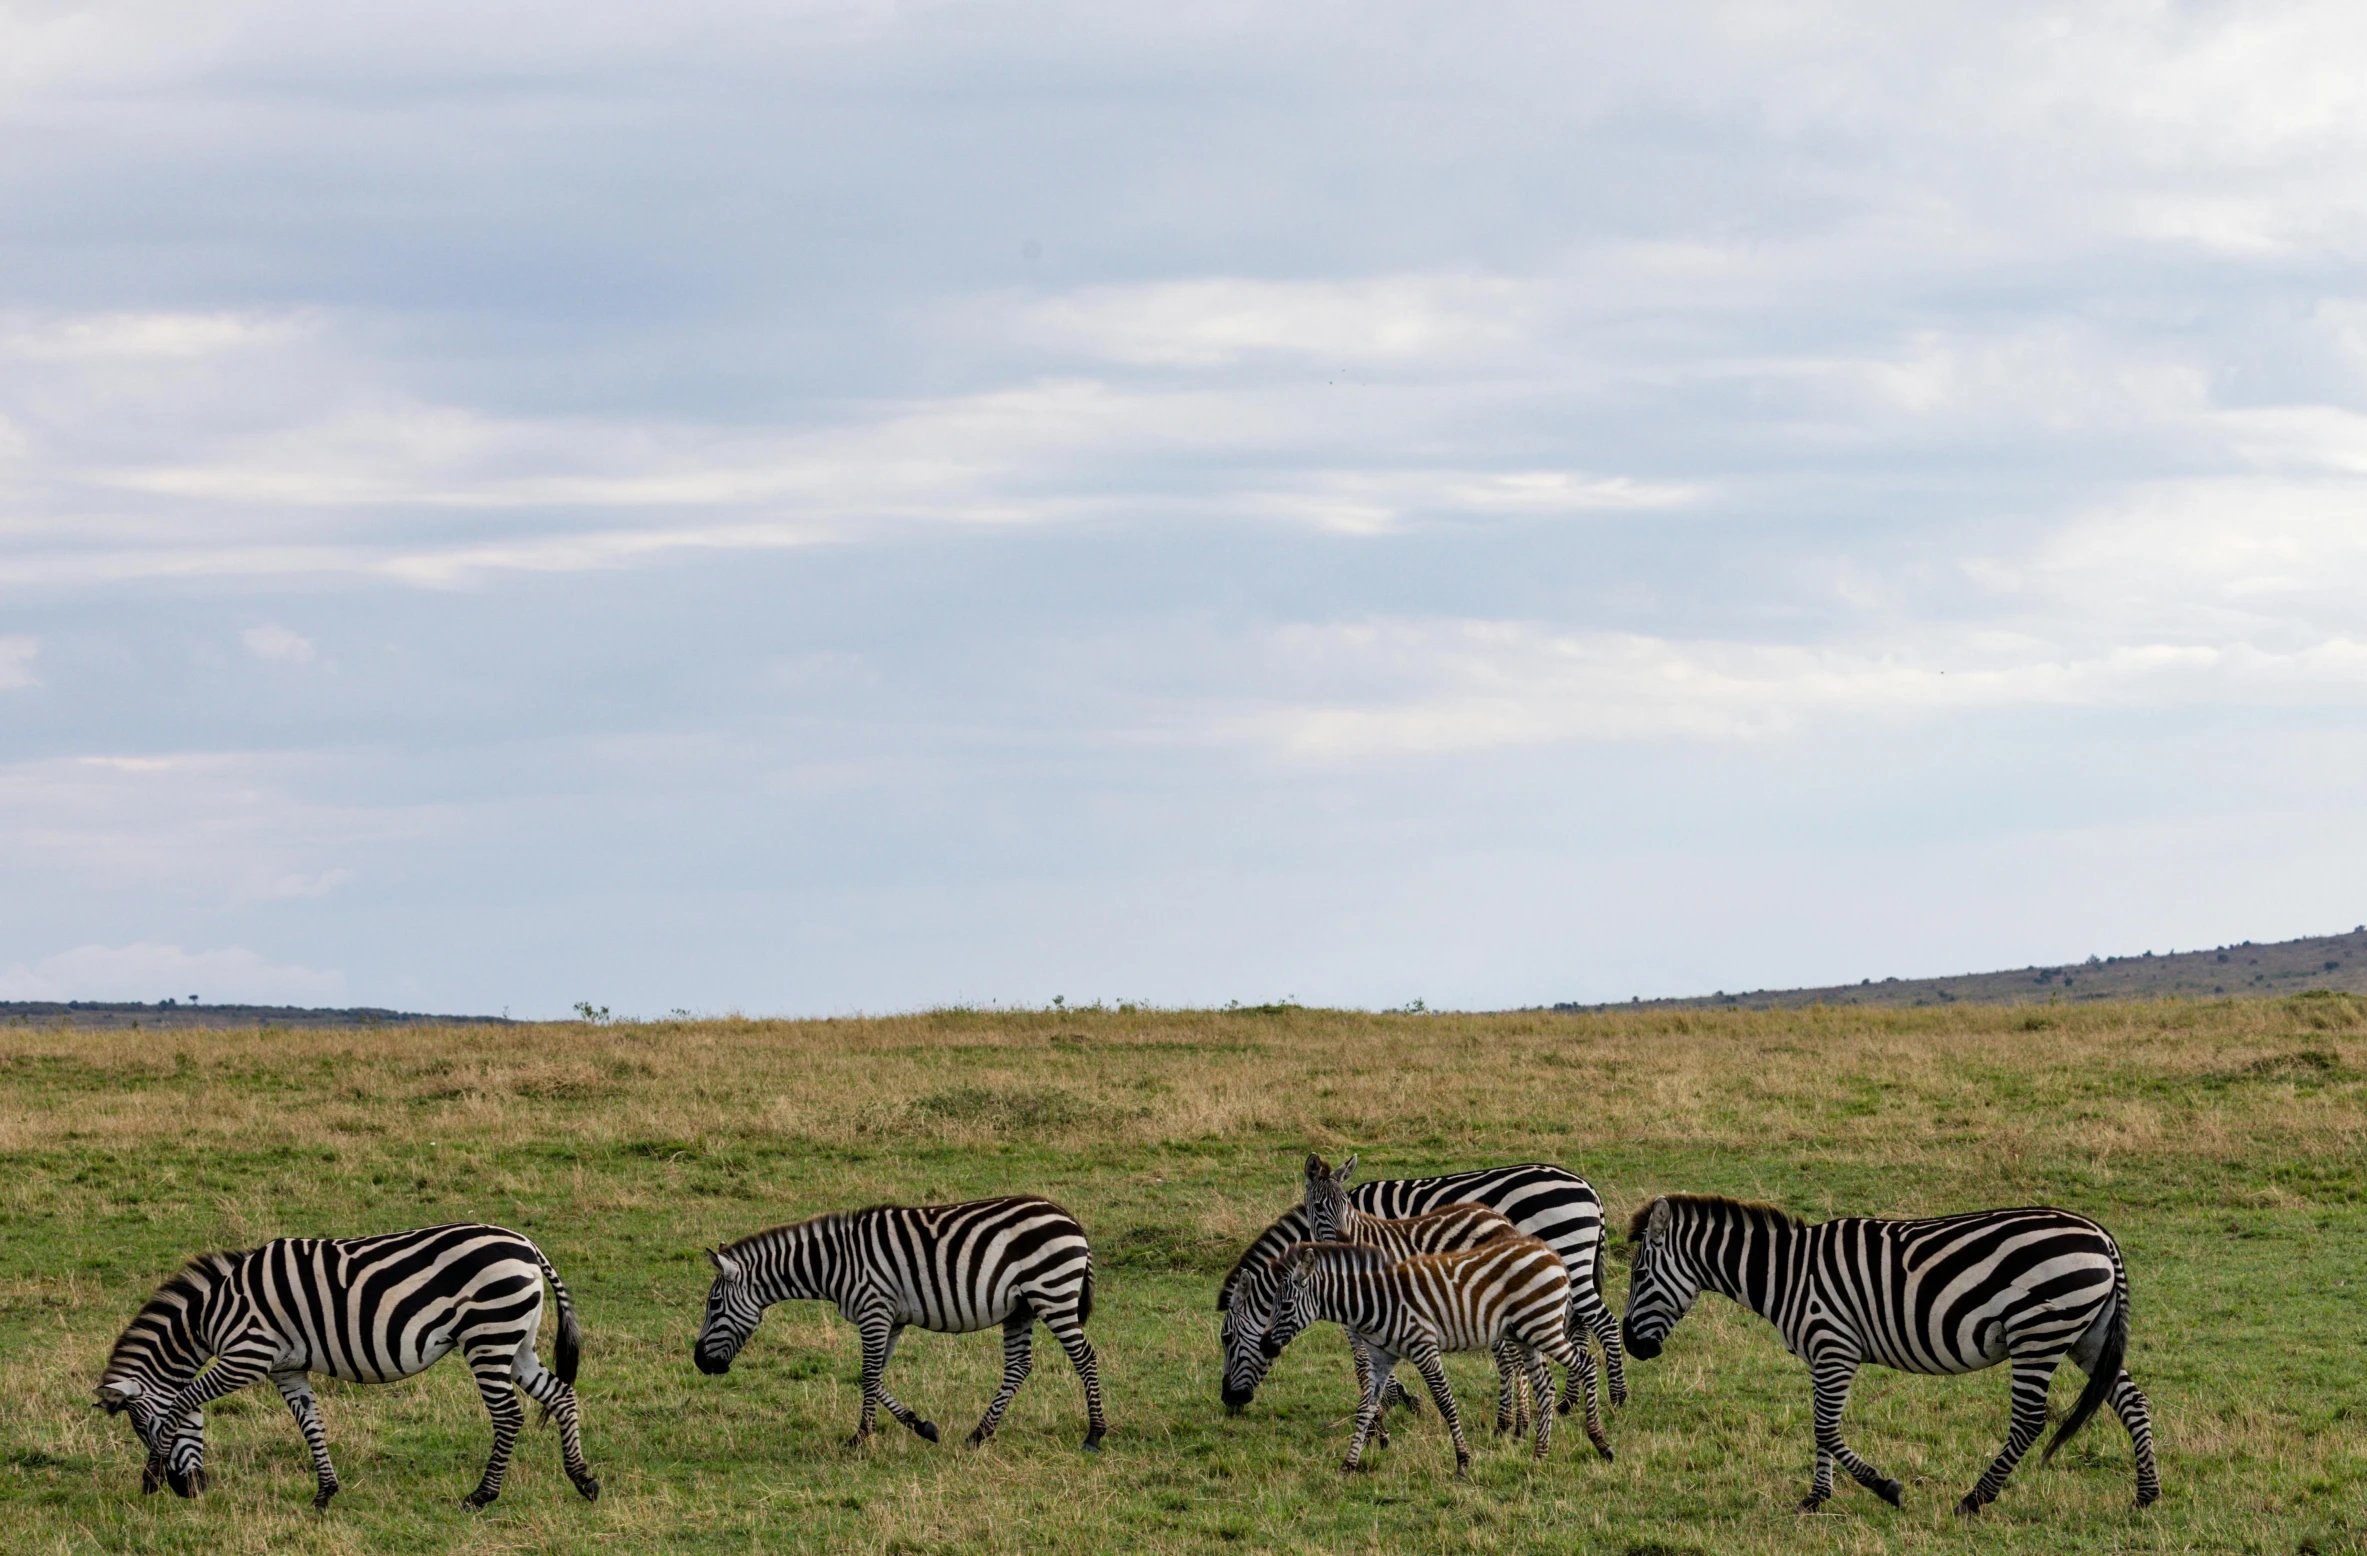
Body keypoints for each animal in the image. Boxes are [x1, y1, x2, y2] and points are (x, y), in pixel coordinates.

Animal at [98, 1222, 601, 1515]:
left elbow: (181, 1399)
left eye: (141, 1427)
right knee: (561, 1394)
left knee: (508, 1416)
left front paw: (151, 1473)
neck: (215, 1310)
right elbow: (311, 1426)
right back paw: (583, 1480)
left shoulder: (246, 1357)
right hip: (516, 1341)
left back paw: (481, 1496)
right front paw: (325, 1494)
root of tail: (526, 1244)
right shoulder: (286, 1368)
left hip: (488, 1336)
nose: (189, 1493)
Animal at [691, 1188, 1107, 1458]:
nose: (699, 1362)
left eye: (714, 1304)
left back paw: (1094, 1435)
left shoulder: (874, 1309)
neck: (835, 1263)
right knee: (1019, 1366)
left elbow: (868, 1373)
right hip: (1021, 1307)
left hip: (1051, 1293)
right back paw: (979, 1434)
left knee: (1085, 1357)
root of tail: (1070, 1218)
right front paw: (921, 1426)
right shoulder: (889, 1318)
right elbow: (874, 1376)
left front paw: (860, 1439)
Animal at [1221, 1151, 1628, 1421]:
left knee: (1604, 1324)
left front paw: (1396, 1398)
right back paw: (1570, 1402)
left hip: (1568, 1257)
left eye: (1227, 1338)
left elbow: (1368, 1348)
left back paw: (1617, 1398)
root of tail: (1589, 1189)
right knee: (1579, 1327)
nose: (1229, 1400)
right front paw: (1396, 1396)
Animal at [1259, 1231, 1609, 1477]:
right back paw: (1540, 1455)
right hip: (1526, 1334)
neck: (1375, 1302)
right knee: (1546, 1387)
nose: (1264, 1346)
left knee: (1587, 1365)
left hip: (1542, 1326)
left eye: (1285, 1305)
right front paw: (1349, 1464)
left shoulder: (1424, 1347)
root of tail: (1551, 1253)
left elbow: (1445, 1402)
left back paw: (1600, 1443)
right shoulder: (1381, 1358)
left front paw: (1463, 1461)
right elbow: (1365, 1407)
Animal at [1628, 1193, 2168, 1515]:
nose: (1634, 1346)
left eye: (1637, 1276)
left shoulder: (1834, 1345)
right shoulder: (1822, 1354)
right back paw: (2146, 1495)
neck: (1786, 1274)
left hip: (2039, 1332)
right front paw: (1816, 1498)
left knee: (2030, 1421)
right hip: (2086, 1334)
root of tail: (2101, 1236)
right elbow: (1821, 1427)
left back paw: (1974, 1500)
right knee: (2131, 1401)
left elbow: (1826, 1428)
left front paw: (1885, 1487)